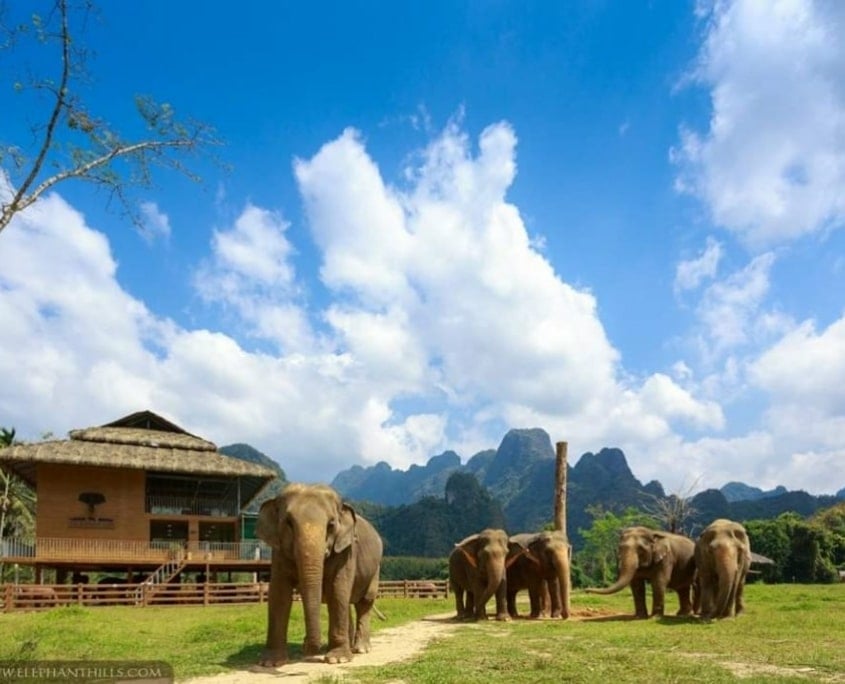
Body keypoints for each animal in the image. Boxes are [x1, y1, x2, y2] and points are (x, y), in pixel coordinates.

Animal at [256, 483, 383, 667]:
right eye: (289, 523)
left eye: (331, 525)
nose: (308, 650)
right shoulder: (278, 551)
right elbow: (279, 593)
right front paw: (270, 662)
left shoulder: (346, 551)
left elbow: (337, 589)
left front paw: (338, 659)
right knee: (347, 602)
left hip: (375, 569)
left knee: (364, 602)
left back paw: (360, 649)